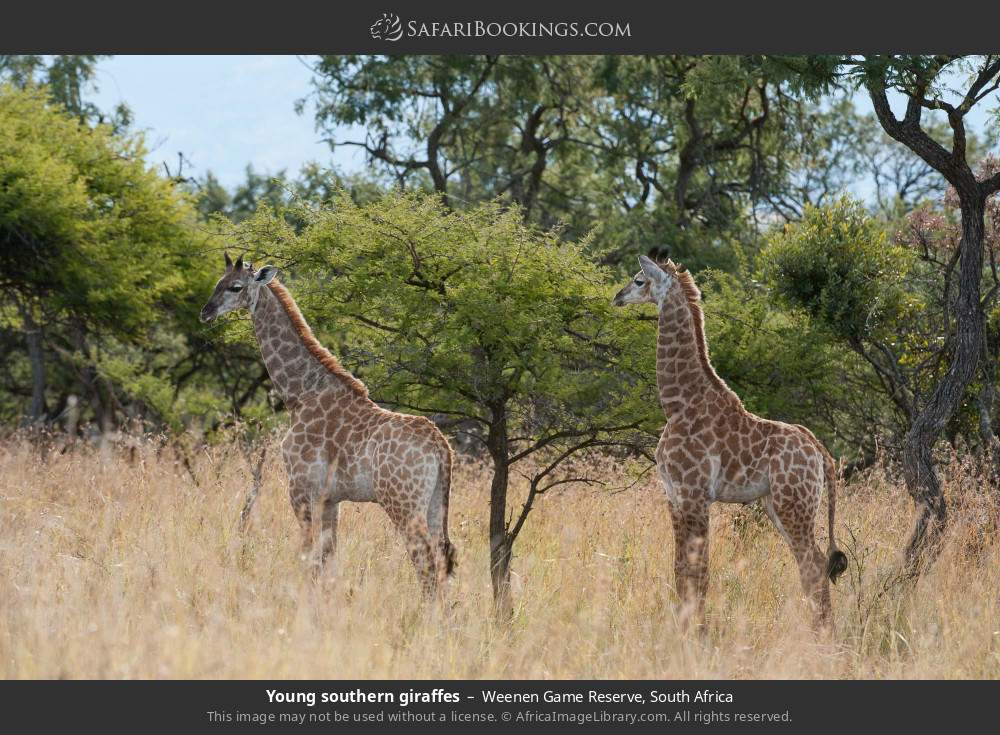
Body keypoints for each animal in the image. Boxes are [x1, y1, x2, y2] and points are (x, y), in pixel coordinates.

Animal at [200, 253, 457, 595]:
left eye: (235, 287)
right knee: (444, 558)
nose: (205, 312)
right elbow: (328, 557)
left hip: (403, 503)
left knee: (425, 562)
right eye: (218, 282)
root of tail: (441, 447)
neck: (300, 394)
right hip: (435, 503)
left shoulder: (300, 487)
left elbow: (309, 554)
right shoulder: (331, 498)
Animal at [613, 256, 848, 628]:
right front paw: (683, 625)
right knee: (812, 563)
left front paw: (697, 630)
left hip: (793, 503)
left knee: (814, 563)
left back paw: (823, 635)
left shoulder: (695, 495)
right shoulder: (673, 496)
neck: (677, 403)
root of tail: (820, 453)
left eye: (639, 280)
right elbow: (681, 568)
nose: (617, 297)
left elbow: (699, 571)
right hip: (777, 504)